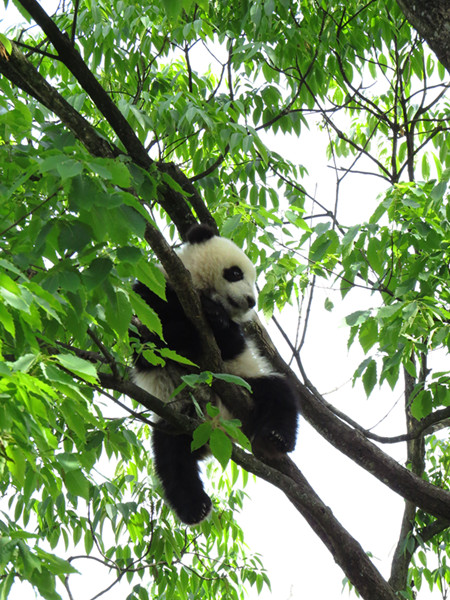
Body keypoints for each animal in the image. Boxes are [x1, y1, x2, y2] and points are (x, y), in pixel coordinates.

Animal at [132, 224, 298, 524]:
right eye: (235, 273)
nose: (251, 301)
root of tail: (217, 428)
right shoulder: (150, 293)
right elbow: (146, 343)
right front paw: (186, 327)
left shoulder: (235, 341)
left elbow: (229, 343)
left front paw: (214, 316)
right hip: (177, 414)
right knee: (171, 456)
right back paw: (194, 508)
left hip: (246, 387)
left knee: (280, 394)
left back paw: (275, 439)